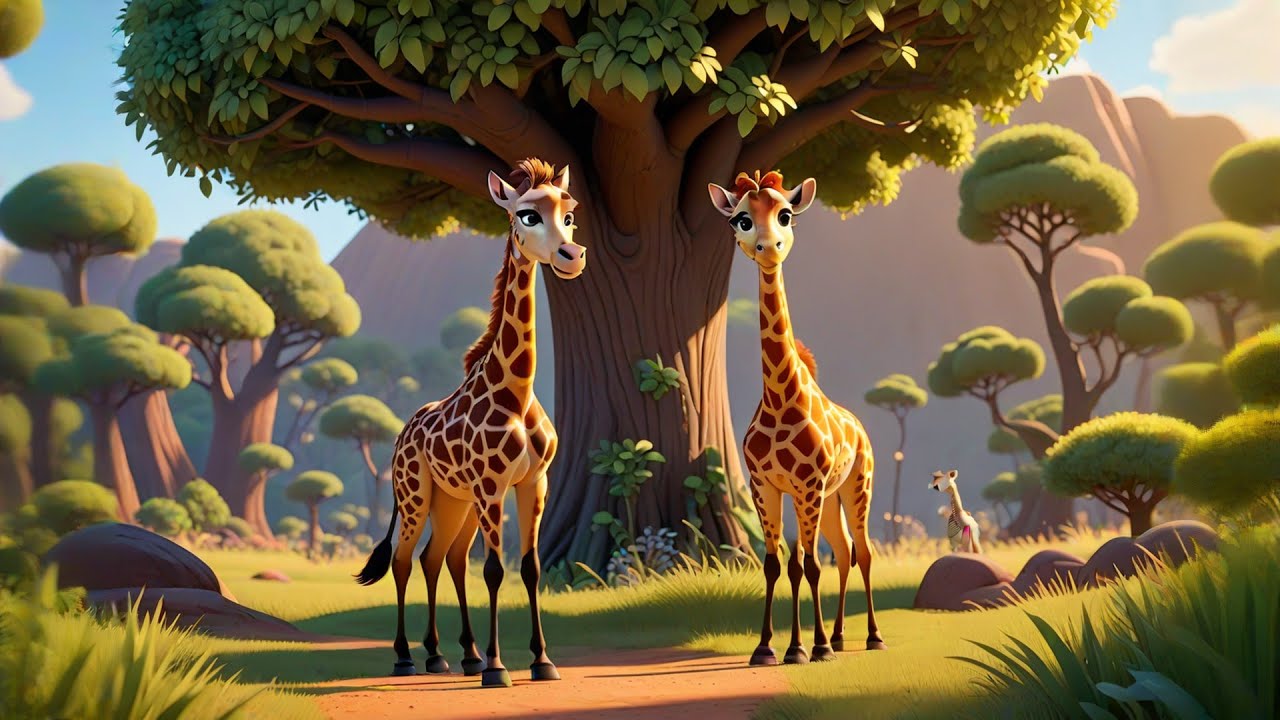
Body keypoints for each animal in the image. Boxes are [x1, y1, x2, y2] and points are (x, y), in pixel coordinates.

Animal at [355, 158, 587, 689]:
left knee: (442, 558)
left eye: (568, 215)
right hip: (417, 495)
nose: (572, 256)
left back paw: (454, 656)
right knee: (405, 560)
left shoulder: (533, 482)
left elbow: (530, 569)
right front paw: (501, 670)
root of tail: (401, 434)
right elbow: (496, 571)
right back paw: (406, 658)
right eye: (527, 215)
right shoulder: (491, 484)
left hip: (454, 501)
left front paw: (541, 662)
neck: (516, 393)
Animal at [707, 170, 885, 666]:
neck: (781, 400)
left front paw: (813, 648)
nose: (768, 247)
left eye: (785, 214)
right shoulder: (766, 486)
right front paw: (772, 647)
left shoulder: (807, 485)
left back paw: (870, 637)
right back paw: (842, 636)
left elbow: (808, 563)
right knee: (843, 551)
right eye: (741, 219)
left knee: (862, 552)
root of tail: (861, 427)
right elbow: (777, 564)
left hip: (855, 485)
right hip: (830, 496)